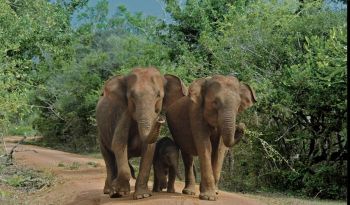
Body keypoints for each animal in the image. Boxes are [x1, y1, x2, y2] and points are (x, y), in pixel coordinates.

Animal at [95, 68, 187, 199]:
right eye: (131, 96)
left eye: (158, 95)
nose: (160, 119)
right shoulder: (124, 115)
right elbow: (118, 144)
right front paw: (117, 192)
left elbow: (149, 148)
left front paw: (142, 196)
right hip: (101, 135)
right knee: (109, 158)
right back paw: (110, 191)